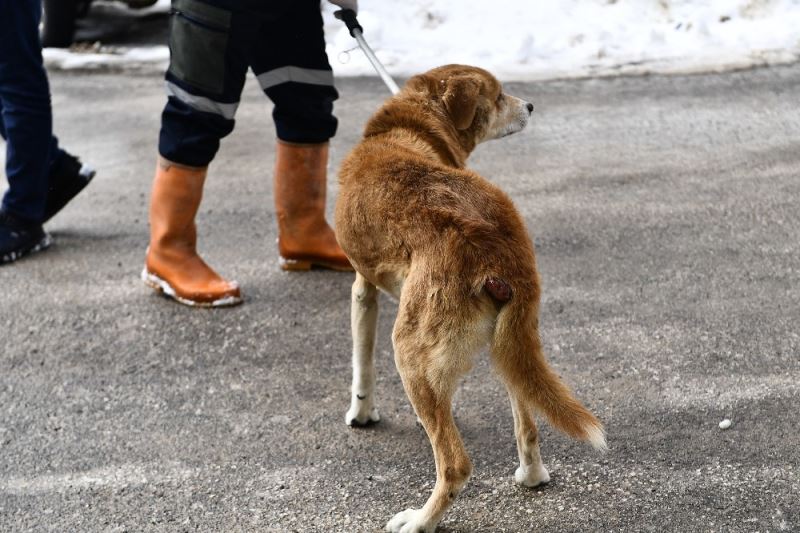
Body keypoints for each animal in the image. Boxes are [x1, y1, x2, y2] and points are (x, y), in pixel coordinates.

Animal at [332, 65, 608, 532]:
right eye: (497, 97)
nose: (530, 104)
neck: (409, 127)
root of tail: (492, 242)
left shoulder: (362, 288)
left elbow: (361, 364)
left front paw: (361, 414)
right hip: (511, 341)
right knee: (526, 419)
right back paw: (532, 474)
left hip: (409, 349)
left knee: (455, 464)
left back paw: (420, 520)